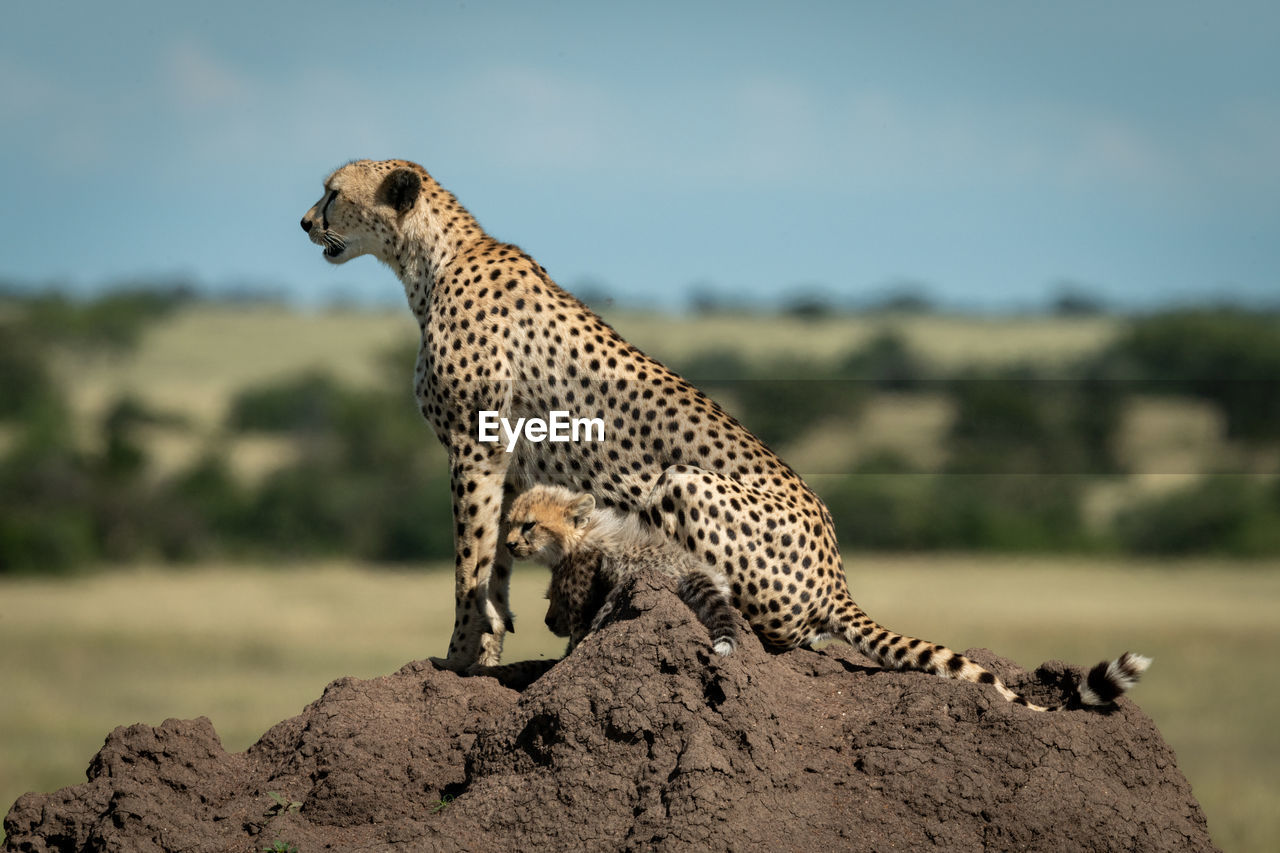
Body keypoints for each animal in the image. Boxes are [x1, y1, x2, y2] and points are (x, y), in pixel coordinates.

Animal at [299, 159, 1152, 712]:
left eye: (333, 192)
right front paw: (487, 651)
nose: (304, 220)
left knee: (778, 635)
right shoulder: (504, 461)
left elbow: (470, 562)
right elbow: (494, 565)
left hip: (686, 483)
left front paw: (457, 659)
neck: (432, 260)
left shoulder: (475, 446)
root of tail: (839, 575)